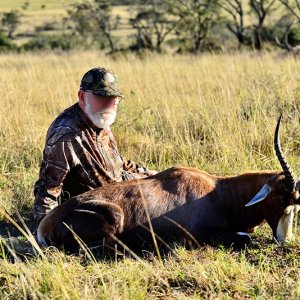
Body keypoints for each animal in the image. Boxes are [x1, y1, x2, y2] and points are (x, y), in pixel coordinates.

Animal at [37, 116, 300, 252]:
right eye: (279, 199)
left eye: (296, 206)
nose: (285, 241)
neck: (219, 192)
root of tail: (45, 224)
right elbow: (245, 237)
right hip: (113, 217)